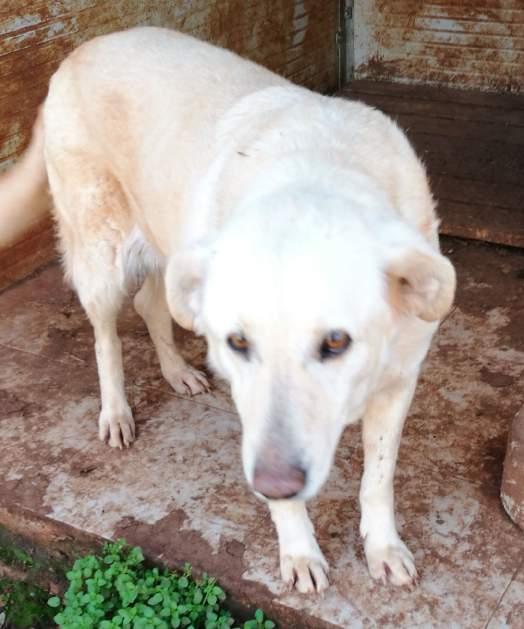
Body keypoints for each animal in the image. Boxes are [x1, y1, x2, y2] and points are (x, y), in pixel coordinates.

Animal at [0, 27, 454, 592]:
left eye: (336, 341)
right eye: (238, 343)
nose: (274, 483)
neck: (321, 173)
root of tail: (81, 49)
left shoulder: (398, 382)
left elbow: (379, 476)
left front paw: (383, 547)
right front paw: (299, 551)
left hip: (169, 249)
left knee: (151, 305)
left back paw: (177, 372)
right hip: (100, 256)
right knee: (106, 337)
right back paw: (116, 413)